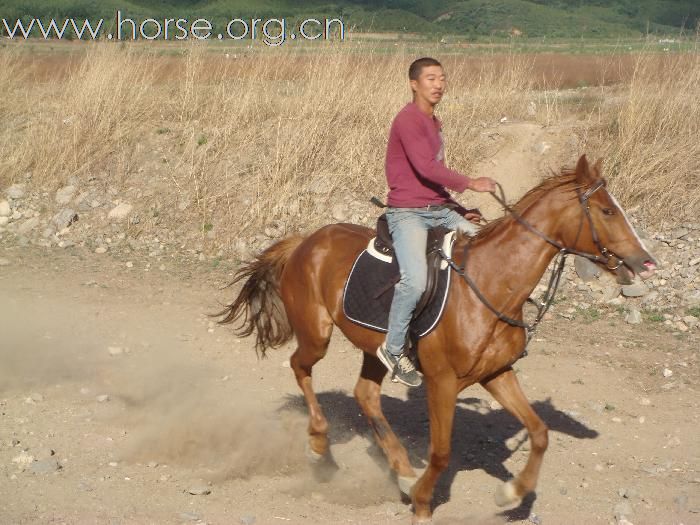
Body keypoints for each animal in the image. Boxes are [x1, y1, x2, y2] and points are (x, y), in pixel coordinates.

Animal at [217, 155, 656, 520]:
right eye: (607, 210)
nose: (646, 261)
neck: (490, 284)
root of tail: (304, 241)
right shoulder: (442, 382)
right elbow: (442, 453)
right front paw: (424, 501)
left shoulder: (497, 374)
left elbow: (540, 433)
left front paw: (511, 494)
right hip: (316, 335)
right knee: (300, 367)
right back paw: (319, 446)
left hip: (375, 350)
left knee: (366, 395)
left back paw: (402, 471)